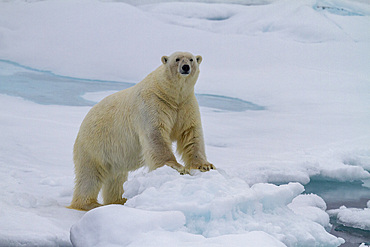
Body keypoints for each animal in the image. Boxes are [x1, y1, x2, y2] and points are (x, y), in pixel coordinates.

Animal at [68, 52, 217, 210]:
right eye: (177, 59)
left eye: (191, 59)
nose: (185, 67)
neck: (170, 93)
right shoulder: (153, 104)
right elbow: (156, 135)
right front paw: (178, 168)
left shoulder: (186, 106)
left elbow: (191, 134)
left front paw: (205, 165)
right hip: (94, 146)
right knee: (90, 176)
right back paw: (90, 204)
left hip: (112, 155)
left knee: (116, 177)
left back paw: (119, 200)